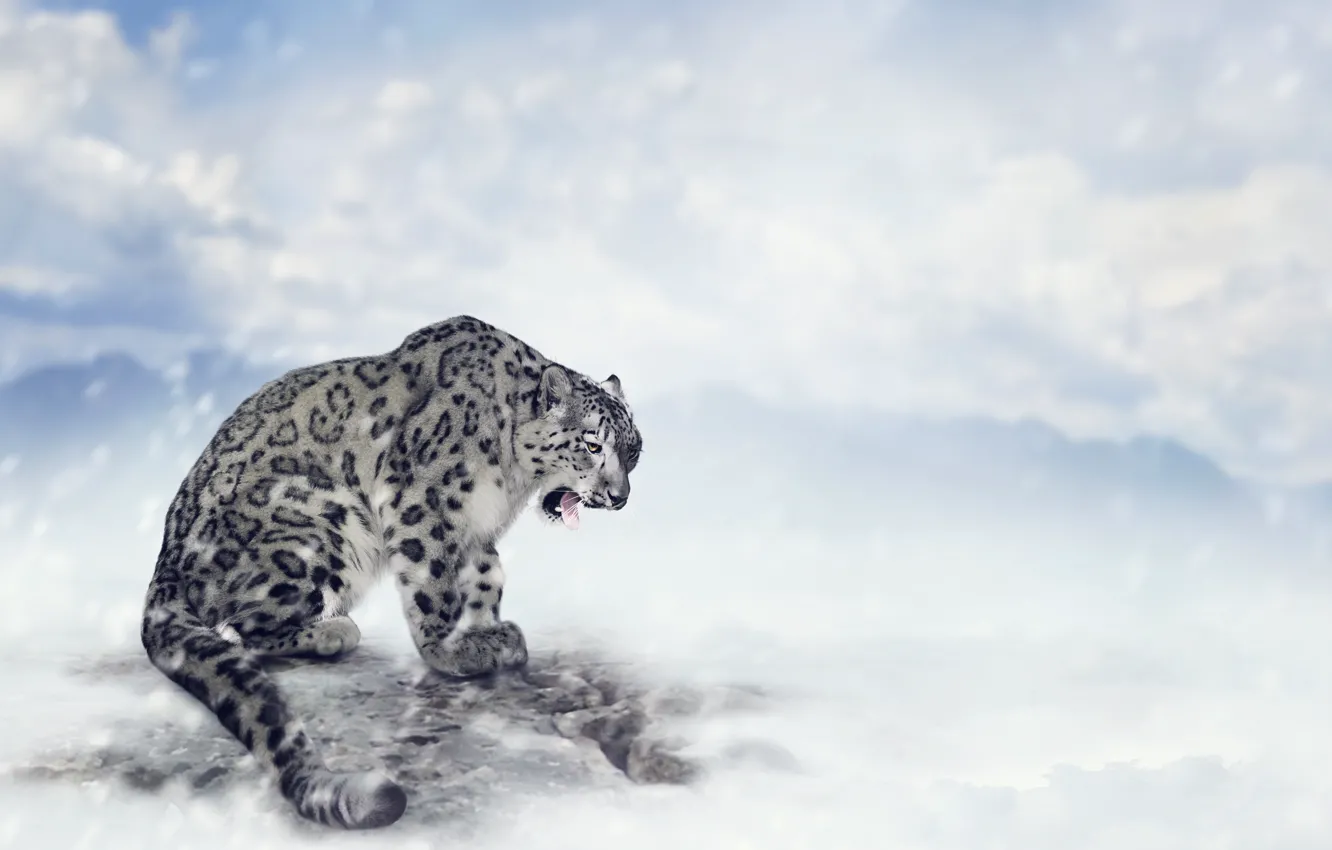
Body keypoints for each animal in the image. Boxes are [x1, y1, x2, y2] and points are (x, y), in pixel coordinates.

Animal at [139, 315, 642, 829]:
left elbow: (487, 575)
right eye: (592, 444)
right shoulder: (425, 499)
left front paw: (490, 630)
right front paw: (451, 648)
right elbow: (435, 583)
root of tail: (165, 564)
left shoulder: (475, 527)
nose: (619, 497)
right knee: (240, 626)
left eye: (634, 450)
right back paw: (332, 631)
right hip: (323, 526)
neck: (513, 479)